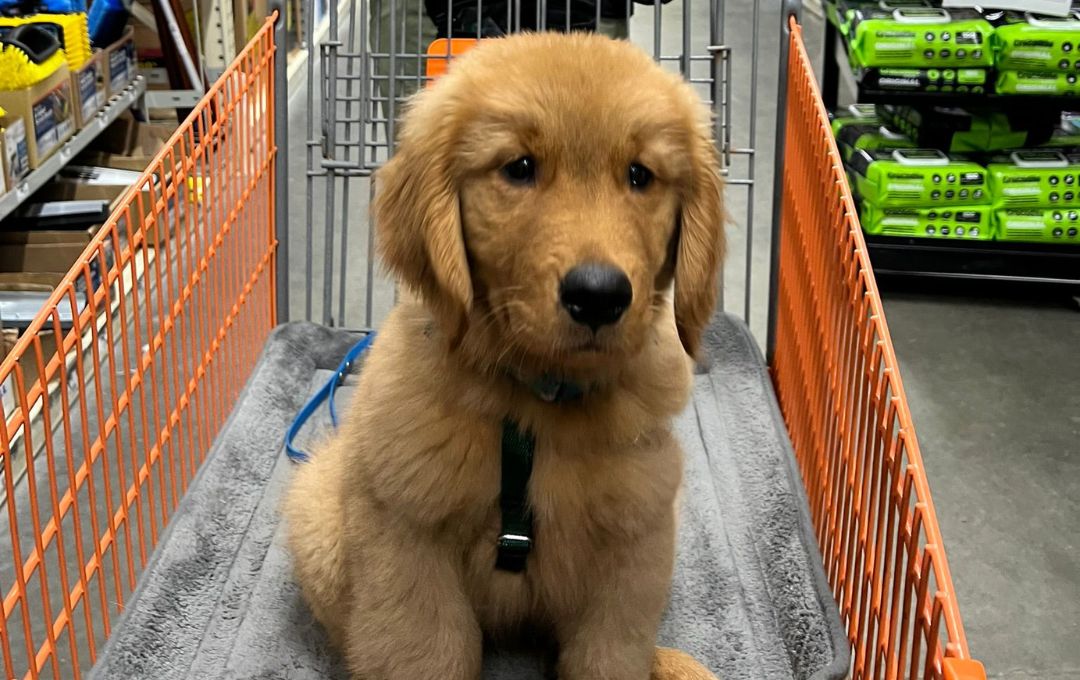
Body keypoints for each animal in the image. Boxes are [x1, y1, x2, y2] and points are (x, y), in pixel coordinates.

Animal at [287, 29, 725, 677]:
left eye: (640, 175)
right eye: (519, 168)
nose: (599, 296)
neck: (536, 402)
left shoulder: (630, 555)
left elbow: (610, 654)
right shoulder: (409, 546)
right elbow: (422, 653)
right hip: (320, 520)